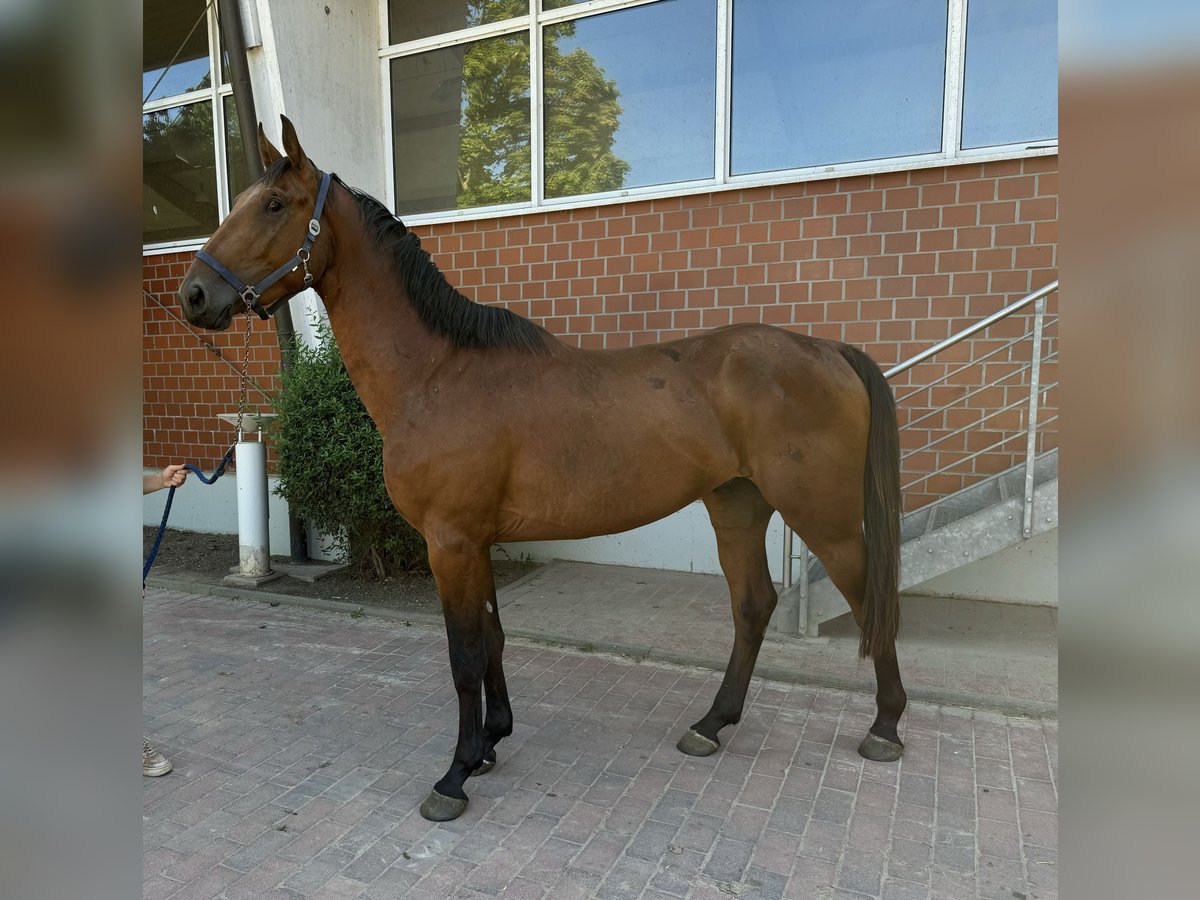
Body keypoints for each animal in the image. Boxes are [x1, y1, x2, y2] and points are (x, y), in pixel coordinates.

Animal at [177, 118, 902, 825]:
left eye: (274, 204)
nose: (194, 295)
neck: (437, 375)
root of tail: (828, 350)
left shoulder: (451, 542)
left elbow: (465, 655)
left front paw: (455, 774)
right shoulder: (477, 542)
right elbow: (494, 638)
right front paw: (493, 741)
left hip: (826, 521)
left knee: (871, 601)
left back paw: (886, 729)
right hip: (738, 507)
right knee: (753, 606)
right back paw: (711, 725)